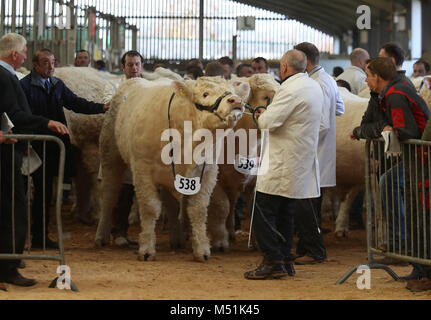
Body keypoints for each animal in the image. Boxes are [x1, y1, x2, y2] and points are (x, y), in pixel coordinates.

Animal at [96, 76, 248, 262]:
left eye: (232, 91)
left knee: (170, 204)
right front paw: (146, 249)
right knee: (109, 195)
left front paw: (202, 250)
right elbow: (150, 208)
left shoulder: (207, 173)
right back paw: (101, 236)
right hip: (110, 155)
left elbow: (198, 210)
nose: (236, 100)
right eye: (205, 93)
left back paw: (176, 239)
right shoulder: (142, 169)